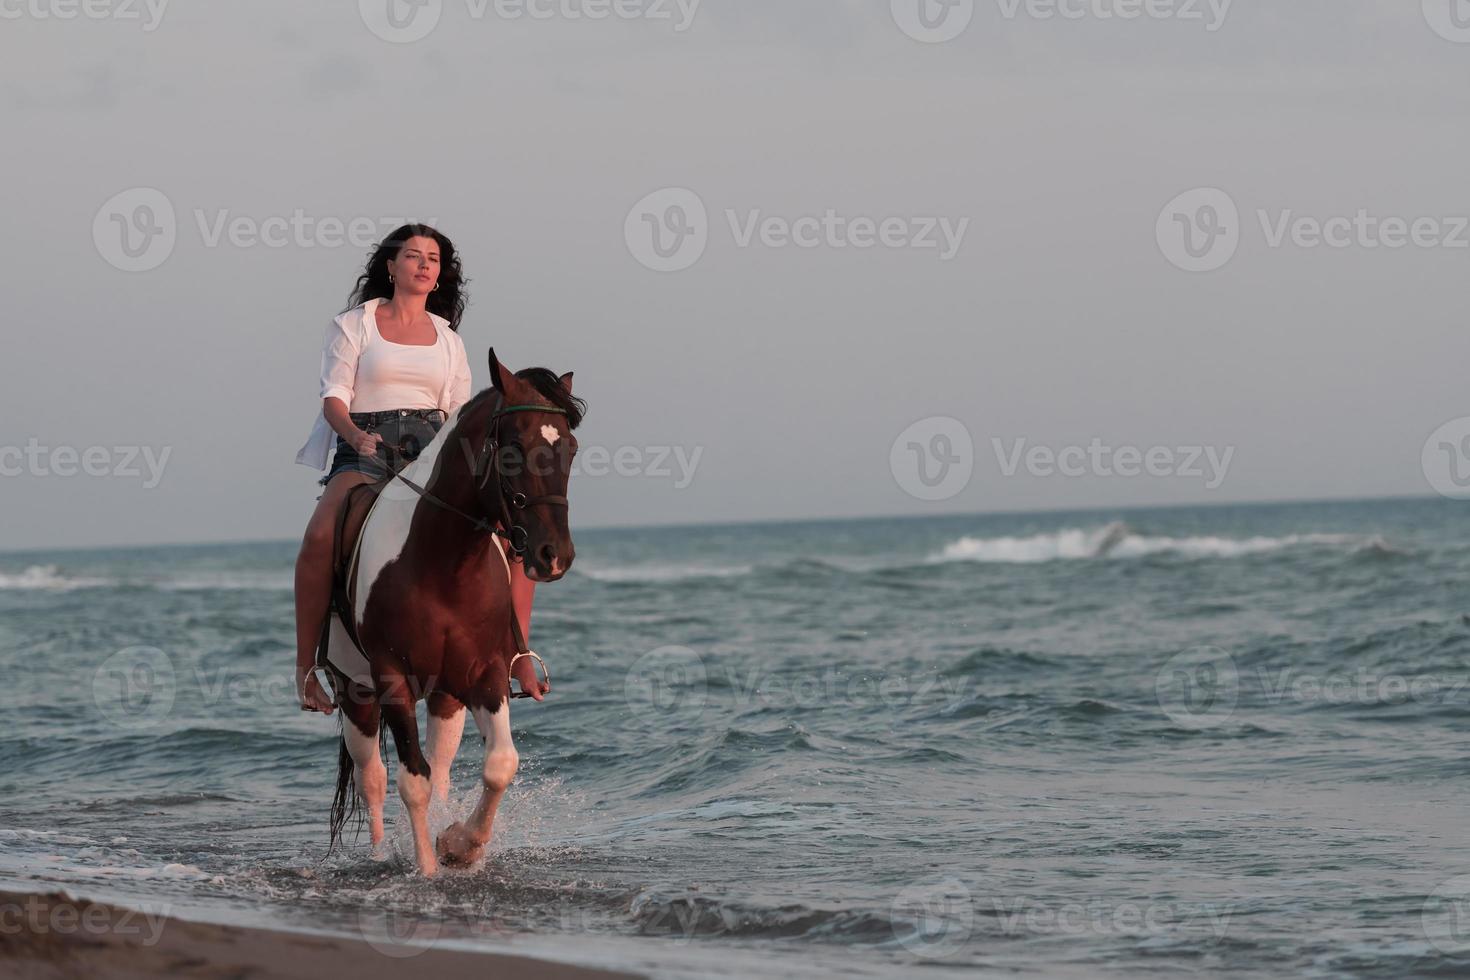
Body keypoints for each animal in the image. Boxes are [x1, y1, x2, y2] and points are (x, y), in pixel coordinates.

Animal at [320, 348, 579, 875]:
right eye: (513, 448)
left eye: (572, 448)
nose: (554, 556)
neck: (443, 564)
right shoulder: (391, 679)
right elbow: (410, 781)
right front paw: (426, 870)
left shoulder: (484, 673)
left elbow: (499, 765)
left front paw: (459, 844)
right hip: (357, 696)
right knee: (373, 777)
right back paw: (381, 853)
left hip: (445, 696)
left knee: (437, 770)